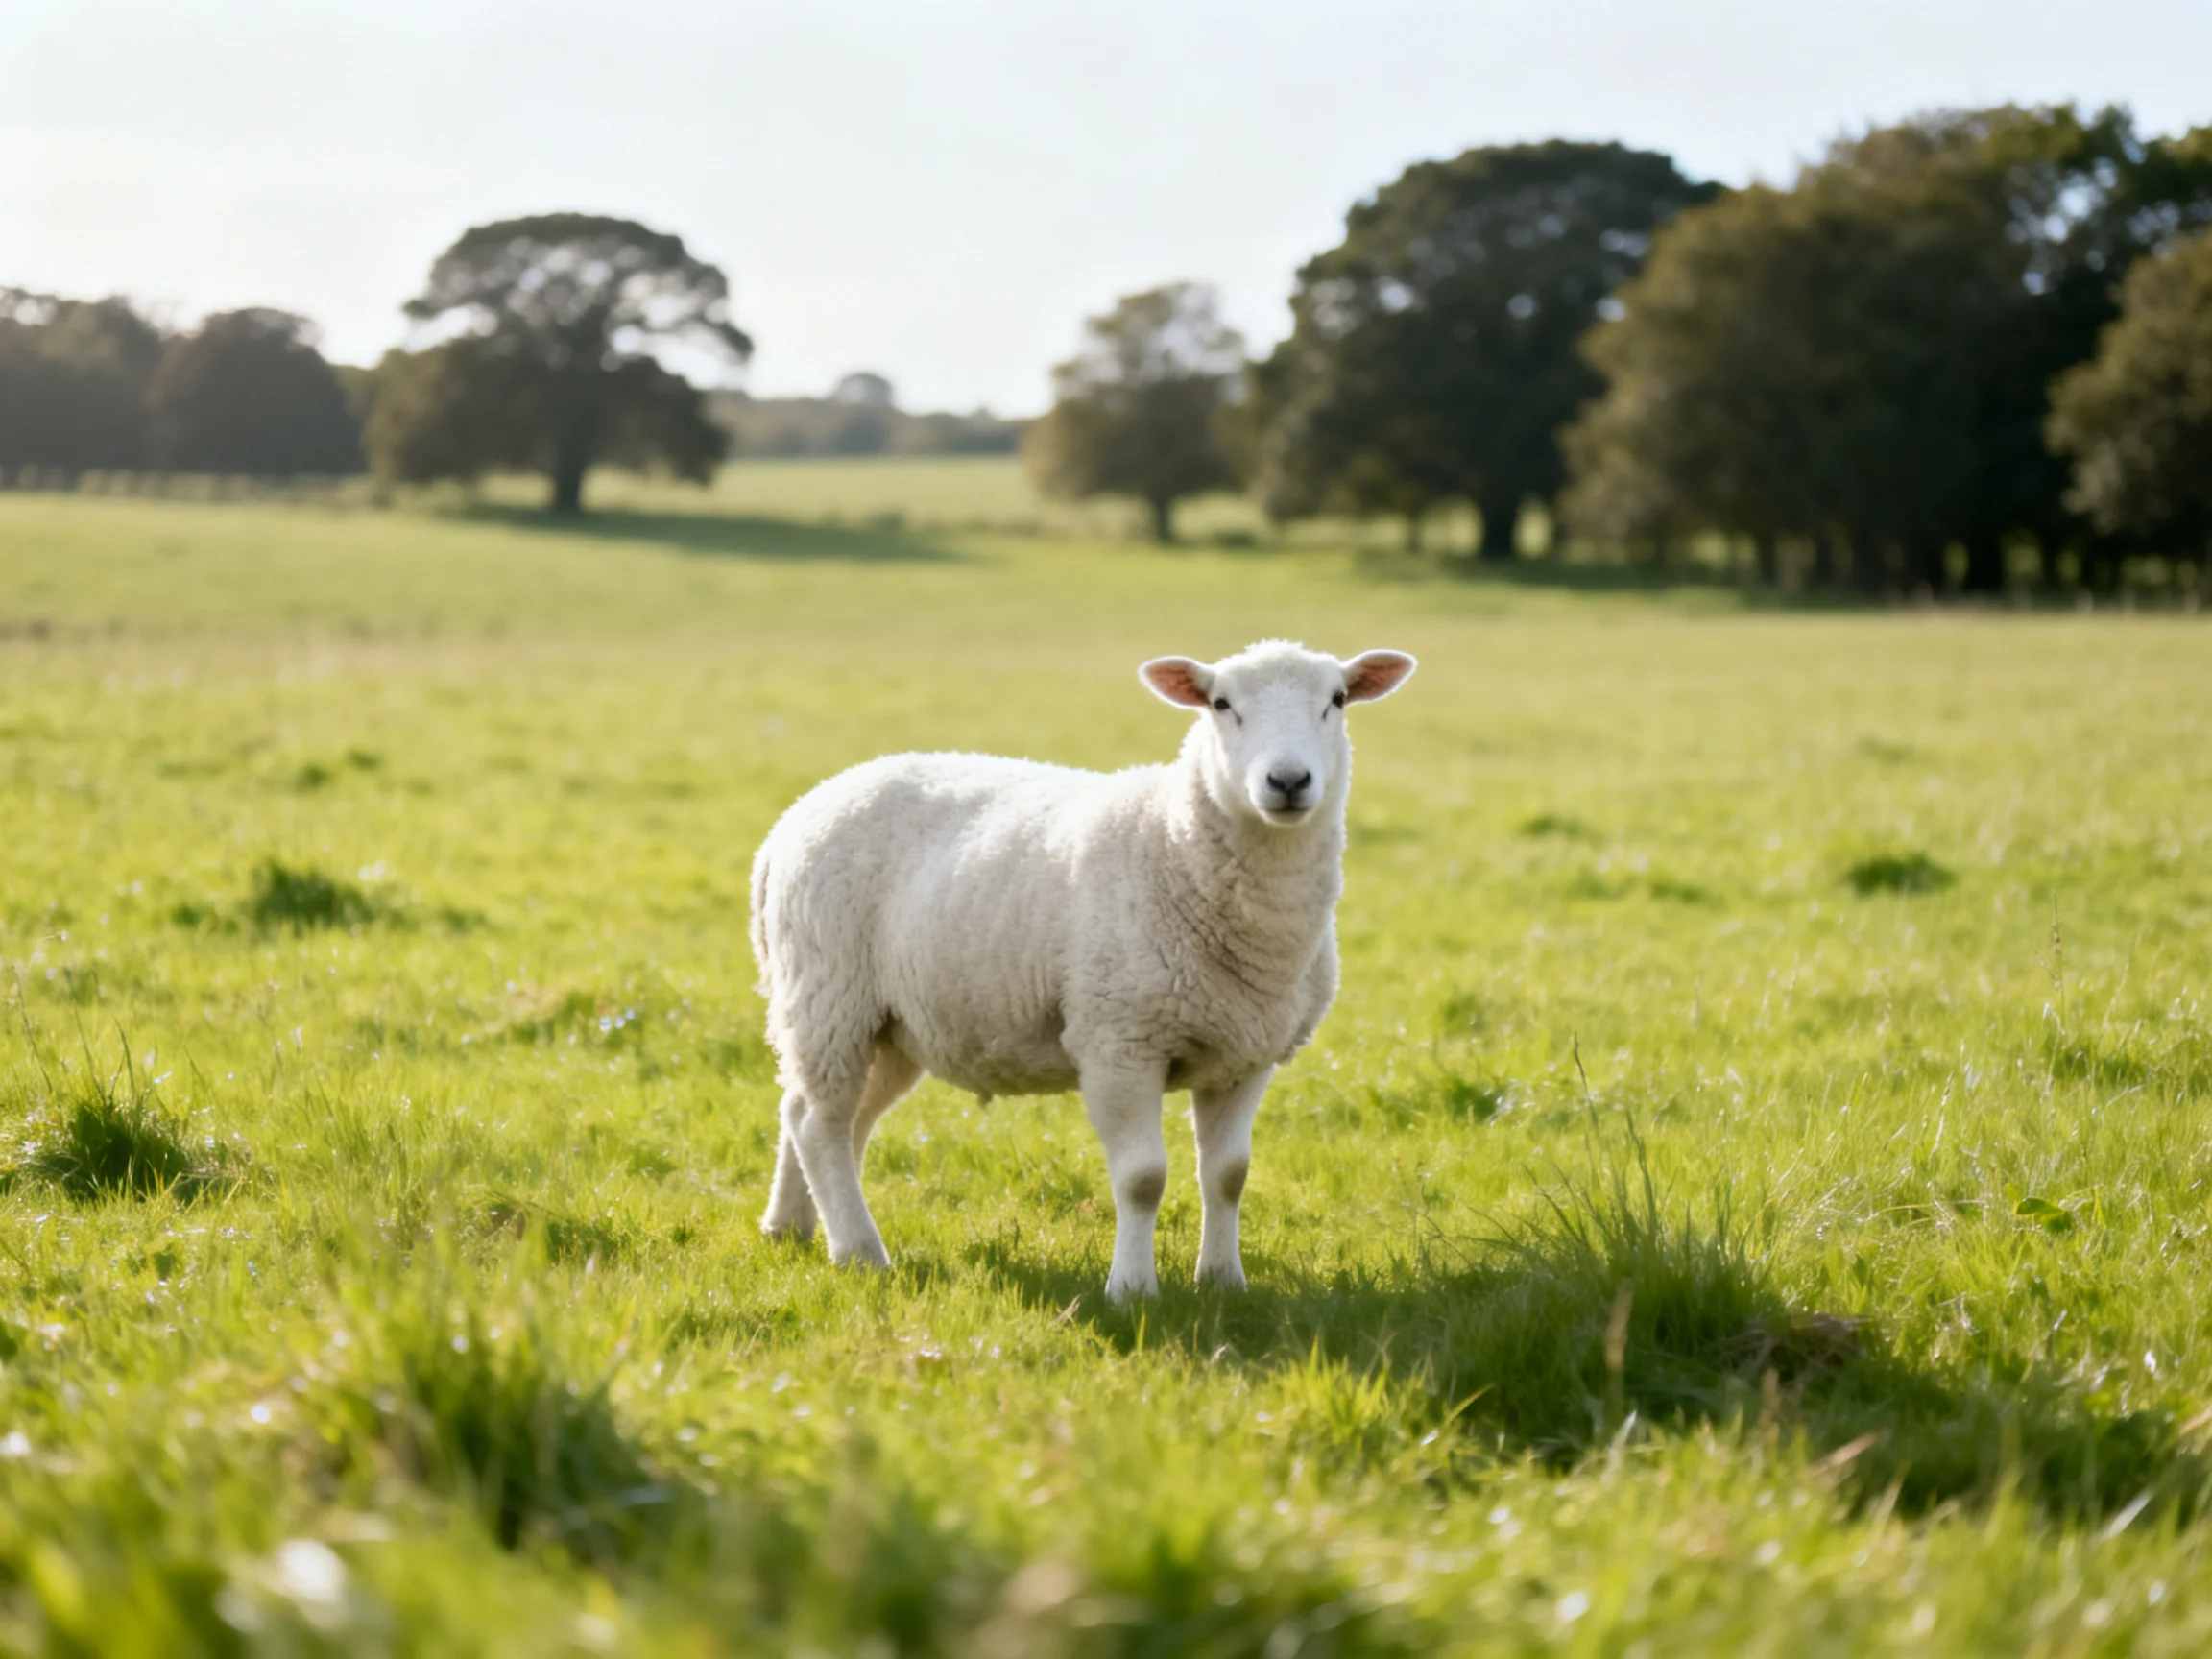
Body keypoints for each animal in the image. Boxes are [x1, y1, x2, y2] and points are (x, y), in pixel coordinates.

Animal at [748, 640, 1417, 1301]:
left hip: (892, 1024)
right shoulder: (1118, 1042)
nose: (1288, 780)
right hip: (830, 995)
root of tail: (794, 817)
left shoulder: (1246, 1053)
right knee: (820, 1123)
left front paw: (1224, 1282)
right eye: (1221, 704)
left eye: (1337, 699)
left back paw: (792, 1228)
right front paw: (1132, 1290)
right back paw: (859, 1252)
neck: (1175, 844)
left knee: (822, 1115)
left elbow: (1228, 1175)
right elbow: (1143, 1178)